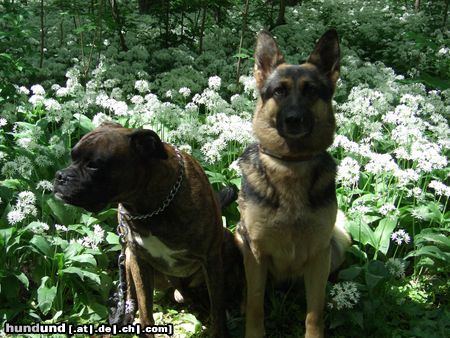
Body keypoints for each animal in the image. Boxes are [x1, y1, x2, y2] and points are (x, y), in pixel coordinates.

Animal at [53, 123, 232, 336]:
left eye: (93, 165)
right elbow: (145, 310)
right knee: (129, 291)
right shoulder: (139, 259)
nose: (59, 176)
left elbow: (218, 309)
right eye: (72, 157)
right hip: (129, 257)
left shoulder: (211, 259)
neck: (150, 208)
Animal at [236, 29, 352, 338]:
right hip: (238, 236)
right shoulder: (255, 252)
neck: (291, 163)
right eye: (279, 91)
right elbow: (255, 302)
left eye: (311, 90)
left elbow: (314, 312)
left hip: (337, 242)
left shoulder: (319, 254)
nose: (294, 119)